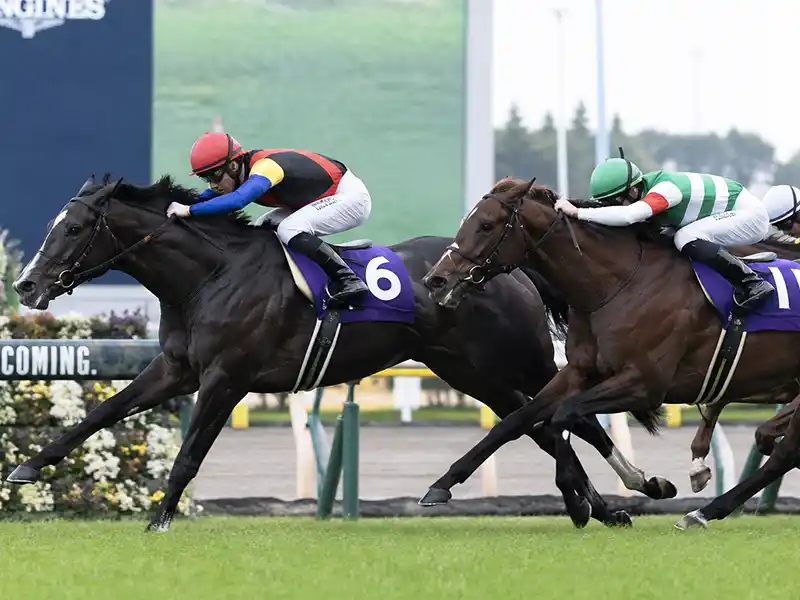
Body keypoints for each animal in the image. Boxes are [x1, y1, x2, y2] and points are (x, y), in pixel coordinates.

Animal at [7, 173, 632, 531]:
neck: (209, 275)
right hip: (470, 372)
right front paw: (28, 465)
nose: (27, 285)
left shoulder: (226, 378)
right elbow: (103, 411)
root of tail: (510, 268)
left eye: (75, 227)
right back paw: (596, 507)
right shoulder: (176, 370)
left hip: (520, 361)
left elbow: (189, 455)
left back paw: (619, 493)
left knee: (563, 416)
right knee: (539, 423)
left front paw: (159, 520)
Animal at [421, 176, 800, 530]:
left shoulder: (644, 384)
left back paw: (703, 511)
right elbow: (516, 421)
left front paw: (579, 503)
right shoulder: (579, 371)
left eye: (486, 225)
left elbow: (563, 416)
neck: (618, 284)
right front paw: (441, 485)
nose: (435, 280)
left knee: (784, 454)